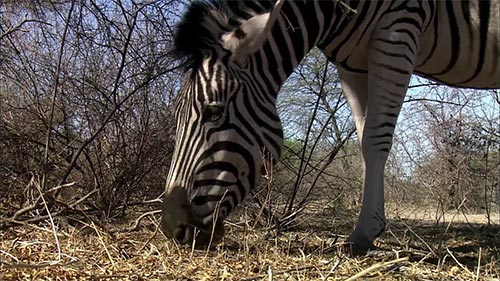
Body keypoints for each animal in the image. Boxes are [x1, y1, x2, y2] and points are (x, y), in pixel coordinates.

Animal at [161, 0, 500, 252]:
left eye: (214, 112)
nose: (171, 227)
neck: (332, 12)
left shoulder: (398, 30)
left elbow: (376, 139)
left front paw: (363, 232)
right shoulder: (353, 63)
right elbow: (364, 139)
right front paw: (373, 226)